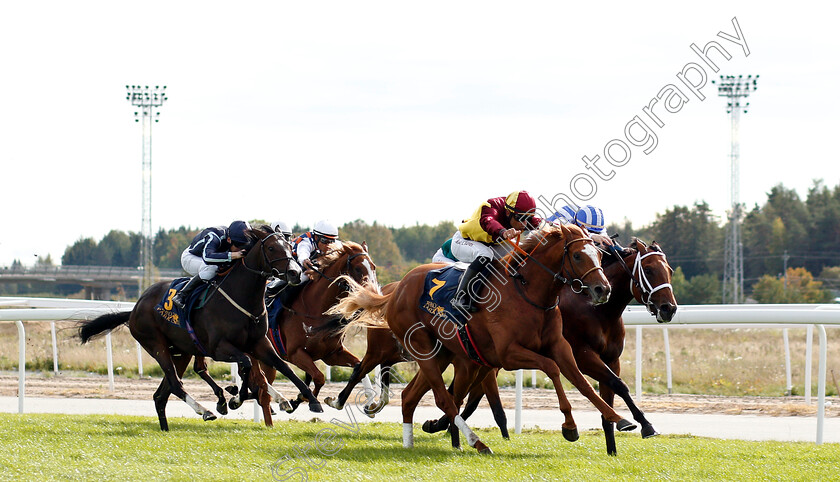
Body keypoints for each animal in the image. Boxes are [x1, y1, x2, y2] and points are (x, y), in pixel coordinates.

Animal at [77, 228, 324, 432]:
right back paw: (205, 410)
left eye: (289, 246)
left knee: (161, 394)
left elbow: (283, 367)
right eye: (272, 248)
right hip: (157, 346)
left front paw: (310, 401)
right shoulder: (219, 348)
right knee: (175, 384)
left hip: (181, 351)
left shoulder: (259, 343)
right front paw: (236, 398)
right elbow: (246, 365)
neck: (242, 297)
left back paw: (167, 427)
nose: (294, 273)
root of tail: (135, 308)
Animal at [330, 224, 636, 454]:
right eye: (578, 256)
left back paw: (410, 442)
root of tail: (397, 289)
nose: (602, 289)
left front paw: (619, 418)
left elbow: (582, 382)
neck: (528, 293)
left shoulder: (560, 346)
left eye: (599, 255)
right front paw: (569, 426)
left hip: (442, 355)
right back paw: (477, 442)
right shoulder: (508, 354)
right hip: (422, 348)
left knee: (410, 396)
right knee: (444, 398)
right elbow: (551, 368)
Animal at [424, 239, 680, 454]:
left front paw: (613, 447)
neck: (597, 310)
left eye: (669, 270)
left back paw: (440, 426)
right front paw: (646, 425)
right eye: (648, 270)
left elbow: (613, 391)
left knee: (465, 394)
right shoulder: (583, 356)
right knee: (462, 393)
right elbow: (619, 385)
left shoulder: (611, 358)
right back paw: (443, 427)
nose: (669, 308)